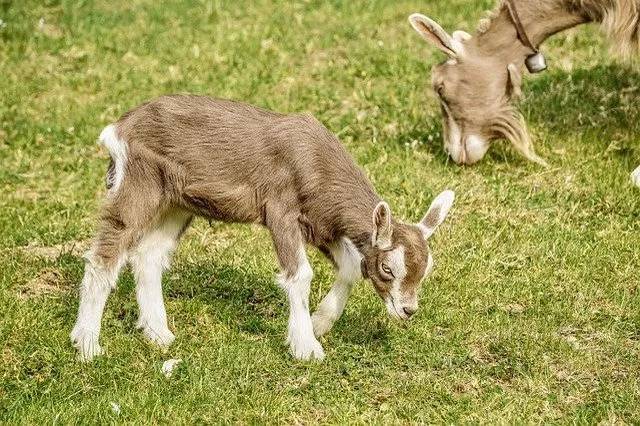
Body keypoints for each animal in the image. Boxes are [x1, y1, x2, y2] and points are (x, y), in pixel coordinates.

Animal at [71, 95, 456, 362]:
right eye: (389, 268)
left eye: (426, 271)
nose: (408, 310)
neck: (319, 164)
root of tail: (118, 129)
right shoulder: (281, 210)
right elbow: (299, 275)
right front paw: (306, 347)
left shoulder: (320, 223)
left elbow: (351, 265)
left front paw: (319, 323)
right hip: (139, 183)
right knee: (105, 254)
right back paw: (87, 344)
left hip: (177, 202)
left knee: (148, 255)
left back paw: (158, 334)